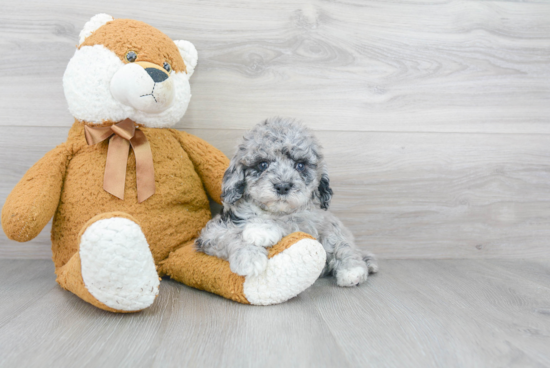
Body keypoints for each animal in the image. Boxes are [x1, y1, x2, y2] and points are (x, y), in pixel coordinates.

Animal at [195, 118, 380, 288]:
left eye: (300, 165)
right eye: (263, 164)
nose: (282, 186)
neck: (271, 211)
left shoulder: (311, 219)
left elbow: (291, 220)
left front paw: (261, 229)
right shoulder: (212, 232)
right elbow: (230, 237)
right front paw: (249, 258)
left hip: (332, 228)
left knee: (344, 246)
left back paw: (353, 270)